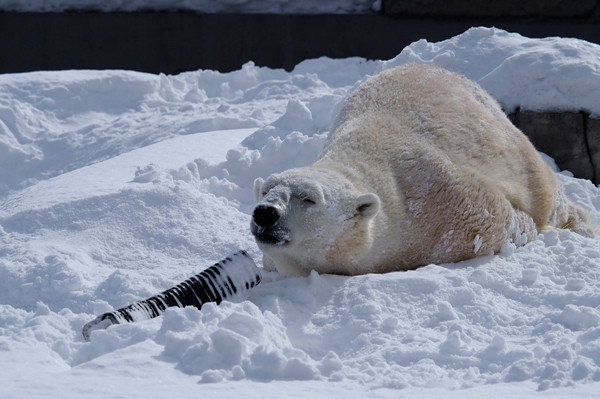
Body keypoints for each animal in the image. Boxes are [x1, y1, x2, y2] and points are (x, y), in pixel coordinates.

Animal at [251, 64, 592, 276]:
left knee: (546, 191)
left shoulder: (436, 200)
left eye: (309, 198)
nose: (266, 213)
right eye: (267, 189)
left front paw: (528, 227)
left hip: (515, 147)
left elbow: (494, 216)